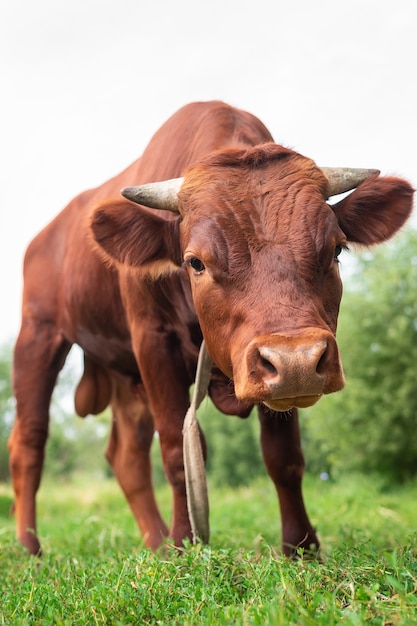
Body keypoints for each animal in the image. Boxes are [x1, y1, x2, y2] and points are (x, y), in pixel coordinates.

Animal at [9, 102, 412, 556]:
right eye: (195, 262)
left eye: (337, 249)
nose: (295, 360)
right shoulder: (153, 341)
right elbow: (177, 450)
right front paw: (186, 544)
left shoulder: (270, 379)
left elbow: (284, 456)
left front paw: (301, 546)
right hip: (38, 337)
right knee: (28, 444)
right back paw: (31, 548)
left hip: (126, 377)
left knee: (126, 455)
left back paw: (156, 542)